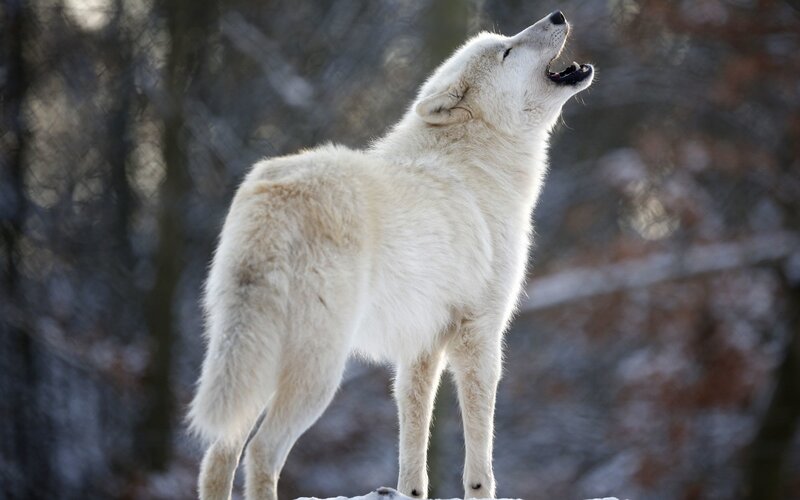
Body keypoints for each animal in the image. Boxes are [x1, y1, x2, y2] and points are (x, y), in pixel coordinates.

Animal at [189, 10, 593, 500]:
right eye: (507, 51)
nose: (557, 15)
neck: (478, 163)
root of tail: (275, 194)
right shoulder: (480, 332)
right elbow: (480, 452)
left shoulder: (420, 345)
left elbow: (413, 441)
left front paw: (408, 492)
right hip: (319, 371)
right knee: (261, 451)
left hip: (257, 362)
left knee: (218, 455)